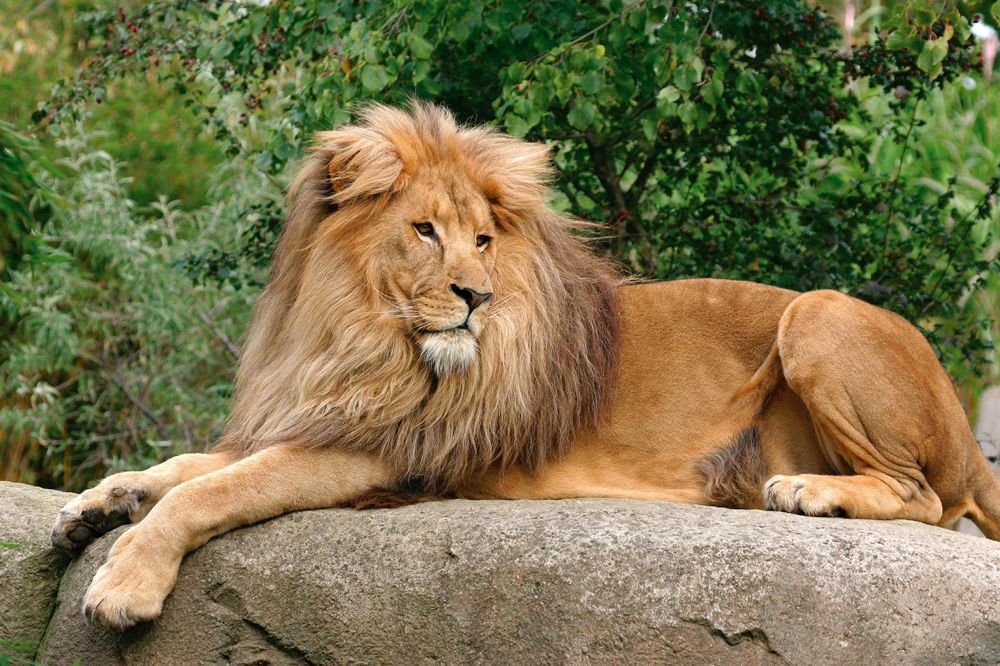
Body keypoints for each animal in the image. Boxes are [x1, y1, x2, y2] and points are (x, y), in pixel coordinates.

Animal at [51, 102, 1000, 630]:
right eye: (425, 230)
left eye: (482, 239)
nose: (475, 295)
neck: (350, 326)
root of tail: (968, 429)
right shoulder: (313, 412)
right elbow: (182, 466)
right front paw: (95, 504)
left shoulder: (378, 448)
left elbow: (208, 492)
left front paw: (125, 583)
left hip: (817, 312)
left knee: (923, 498)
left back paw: (809, 491)